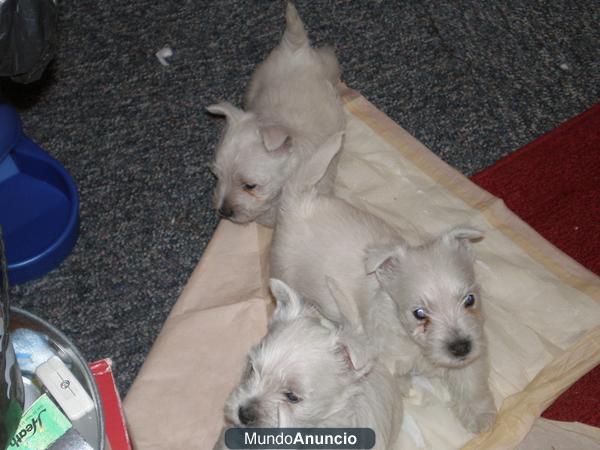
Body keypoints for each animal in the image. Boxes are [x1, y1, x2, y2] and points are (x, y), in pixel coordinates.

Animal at [272, 135, 496, 434]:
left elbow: (472, 380)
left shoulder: (474, 340)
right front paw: (409, 388)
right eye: (419, 313)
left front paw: (480, 416)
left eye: (469, 300)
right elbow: (397, 380)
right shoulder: (386, 357)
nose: (460, 347)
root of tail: (298, 202)